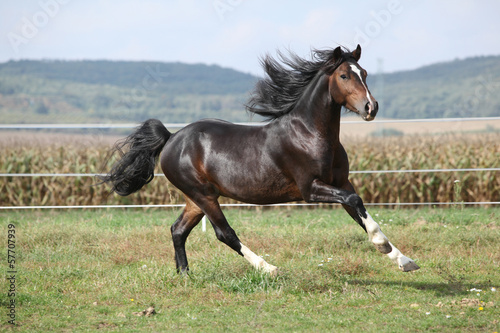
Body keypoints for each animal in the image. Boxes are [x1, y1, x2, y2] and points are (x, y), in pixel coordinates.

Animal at [100, 46, 418, 274]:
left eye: (364, 72)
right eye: (344, 76)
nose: (371, 107)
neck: (310, 133)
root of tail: (170, 138)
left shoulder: (341, 183)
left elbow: (360, 211)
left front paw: (403, 260)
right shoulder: (310, 188)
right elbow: (355, 204)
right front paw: (383, 247)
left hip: (196, 198)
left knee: (178, 230)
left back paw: (185, 275)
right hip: (203, 195)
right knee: (224, 233)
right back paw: (268, 268)